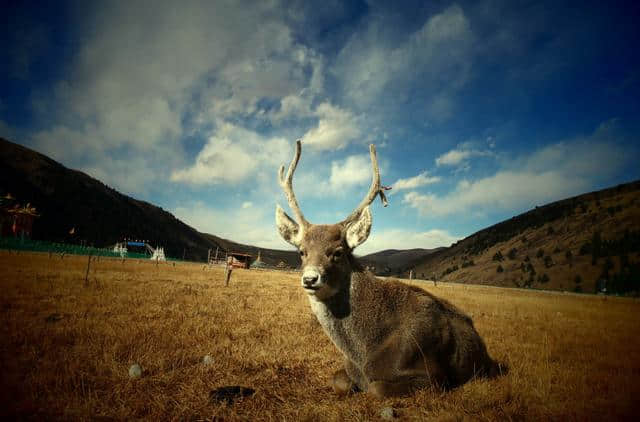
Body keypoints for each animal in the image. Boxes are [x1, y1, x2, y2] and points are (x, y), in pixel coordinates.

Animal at [276, 140, 504, 398]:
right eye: (301, 251)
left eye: (338, 252)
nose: (310, 279)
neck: (363, 351)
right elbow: (339, 382)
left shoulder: (433, 376)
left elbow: (377, 389)